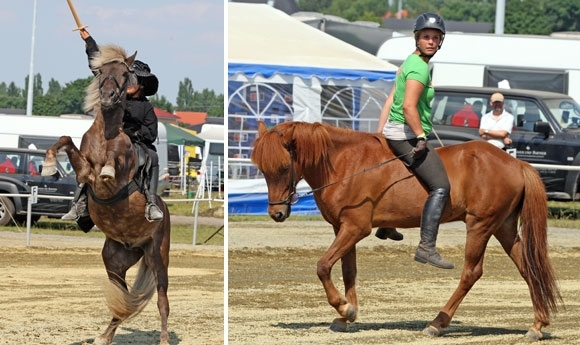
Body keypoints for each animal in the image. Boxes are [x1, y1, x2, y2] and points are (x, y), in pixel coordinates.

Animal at [41, 45, 170, 344]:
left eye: (124, 74)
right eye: (100, 72)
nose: (108, 97)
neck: (106, 135)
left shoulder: (111, 181)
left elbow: (112, 164)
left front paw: (110, 167)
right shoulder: (85, 170)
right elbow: (66, 141)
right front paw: (49, 164)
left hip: (158, 258)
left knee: (162, 302)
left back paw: (164, 339)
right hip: (115, 261)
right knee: (122, 299)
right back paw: (104, 336)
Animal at [253, 119, 560, 340]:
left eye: (283, 168)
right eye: (263, 170)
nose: (276, 213)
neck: (344, 164)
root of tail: (516, 163)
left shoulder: (355, 228)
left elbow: (323, 266)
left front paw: (343, 307)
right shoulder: (343, 228)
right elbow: (348, 270)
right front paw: (346, 315)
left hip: (480, 225)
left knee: (471, 273)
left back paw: (437, 322)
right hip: (503, 227)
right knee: (528, 268)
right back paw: (537, 324)